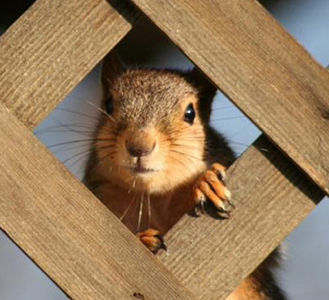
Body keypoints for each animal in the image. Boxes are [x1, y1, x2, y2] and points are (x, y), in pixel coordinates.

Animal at [83, 52, 286, 300]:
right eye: (109, 104)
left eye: (190, 113)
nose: (139, 146)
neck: (156, 198)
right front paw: (144, 240)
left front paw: (208, 182)